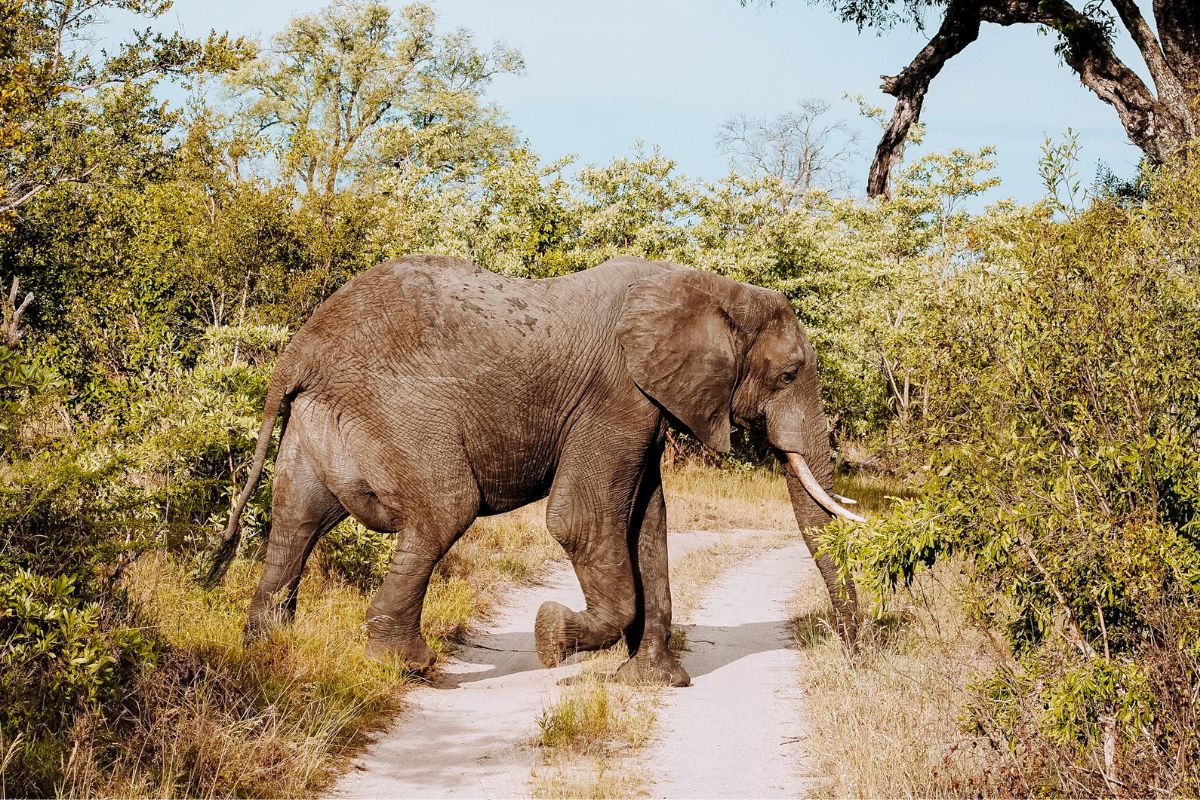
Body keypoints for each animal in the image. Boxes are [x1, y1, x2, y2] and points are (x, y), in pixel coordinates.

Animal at [205, 254, 863, 687]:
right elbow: (581, 521)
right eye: (787, 375)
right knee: (444, 509)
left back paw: (269, 649)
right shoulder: (616, 396)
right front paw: (551, 637)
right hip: (397, 412)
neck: (707, 286)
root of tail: (299, 351)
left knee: (295, 521)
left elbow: (648, 527)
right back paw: (406, 664)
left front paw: (657, 682)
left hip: (319, 419)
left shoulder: (645, 407)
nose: (856, 652)